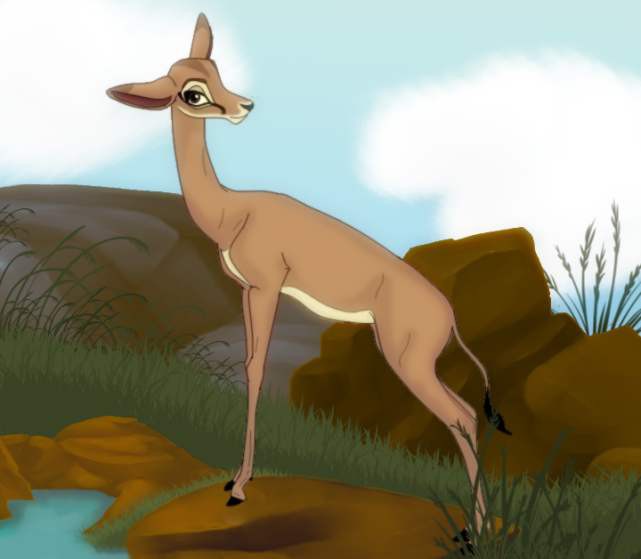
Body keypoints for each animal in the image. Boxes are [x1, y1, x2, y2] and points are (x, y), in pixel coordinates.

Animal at [107, 13, 511, 549]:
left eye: (216, 74)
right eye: (194, 90)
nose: (244, 106)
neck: (231, 210)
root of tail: (449, 314)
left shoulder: (267, 287)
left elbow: (257, 370)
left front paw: (239, 487)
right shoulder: (246, 291)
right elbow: (250, 366)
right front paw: (235, 481)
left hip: (408, 360)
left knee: (462, 418)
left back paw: (474, 532)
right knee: (466, 413)